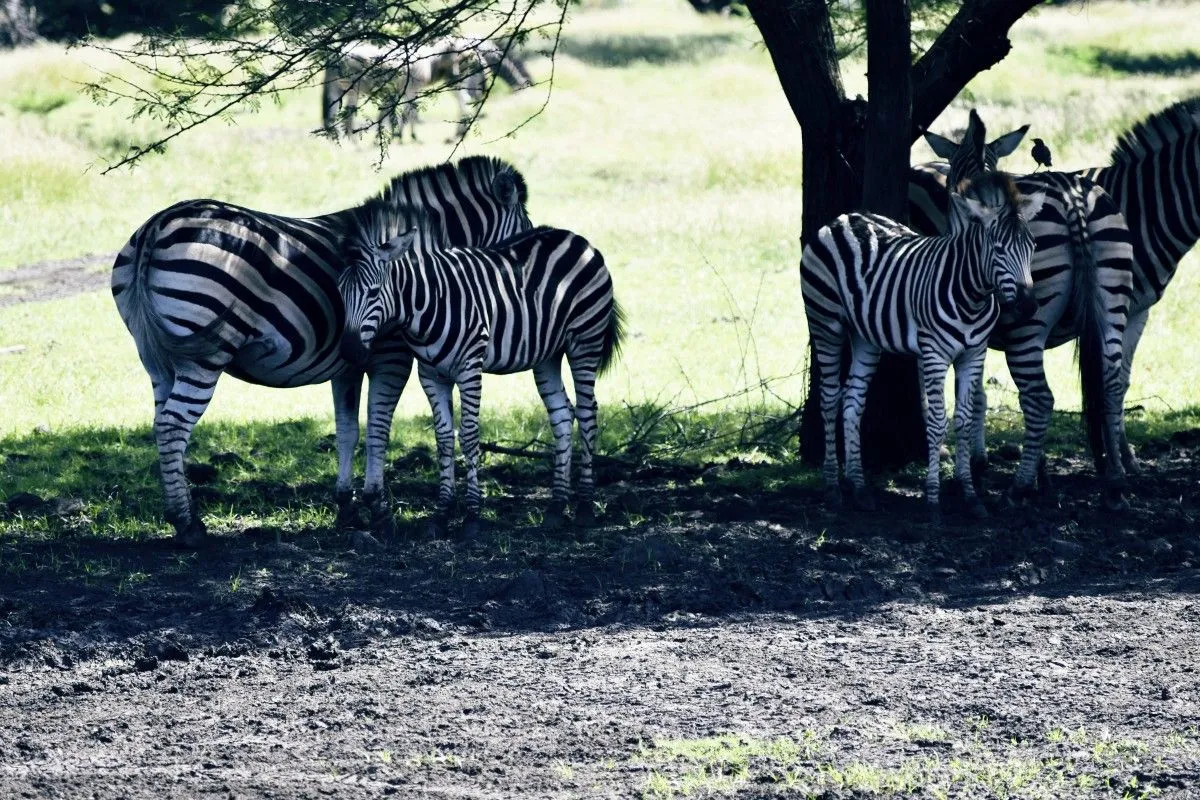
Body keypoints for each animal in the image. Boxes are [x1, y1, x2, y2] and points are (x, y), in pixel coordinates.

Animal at [111, 156, 532, 546]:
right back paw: (188, 526)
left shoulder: (349, 363)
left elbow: (347, 431)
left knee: (162, 425)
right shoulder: (391, 355)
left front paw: (346, 508)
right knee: (173, 425)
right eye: (526, 237)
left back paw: (181, 513)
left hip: (157, 357)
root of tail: (155, 227)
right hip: (202, 356)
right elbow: (378, 428)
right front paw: (379, 510)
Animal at [337, 208, 625, 537]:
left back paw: (585, 507)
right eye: (339, 292)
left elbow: (470, 435)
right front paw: (442, 513)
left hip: (585, 341)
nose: (349, 352)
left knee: (588, 413)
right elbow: (444, 438)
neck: (427, 304)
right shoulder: (430, 375)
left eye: (373, 293)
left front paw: (473, 515)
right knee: (563, 416)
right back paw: (555, 507)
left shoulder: (469, 368)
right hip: (547, 355)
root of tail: (578, 239)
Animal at [802, 172, 1045, 520]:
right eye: (998, 249)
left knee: (852, 401)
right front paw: (933, 500)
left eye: (1033, 246)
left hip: (864, 336)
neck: (972, 296)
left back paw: (859, 488)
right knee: (830, 398)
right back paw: (833, 488)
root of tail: (844, 217)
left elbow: (964, 420)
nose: (1028, 307)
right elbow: (937, 421)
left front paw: (971, 496)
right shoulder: (934, 355)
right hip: (825, 322)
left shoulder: (974, 354)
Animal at [910, 116, 1138, 509]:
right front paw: (1041, 475)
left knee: (1040, 397)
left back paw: (1017, 488)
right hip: (1113, 295)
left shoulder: (974, 333)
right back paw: (1115, 483)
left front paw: (978, 467)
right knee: (1110, 386)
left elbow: (975, 398)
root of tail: (1073, 197)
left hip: (1026, 326)